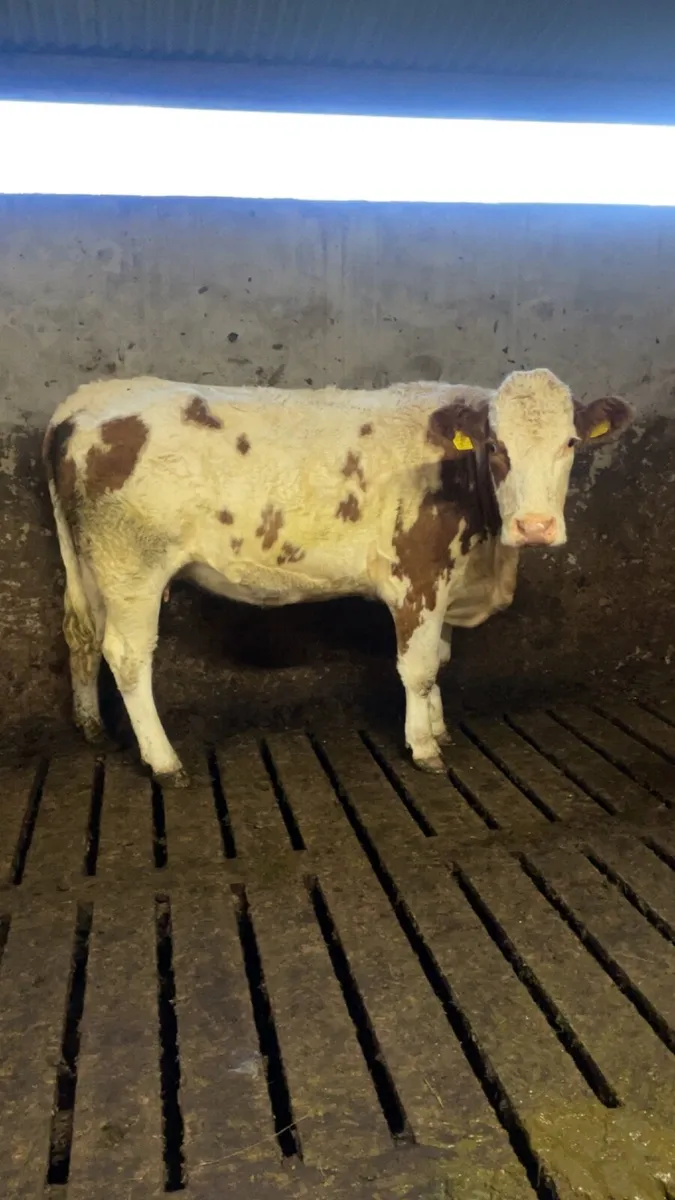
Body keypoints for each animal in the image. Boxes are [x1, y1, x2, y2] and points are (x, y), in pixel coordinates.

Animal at [43, 368, 633, 786]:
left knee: (83, 637)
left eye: (571, 443)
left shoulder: (447, 583)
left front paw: (439, 727)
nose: (535, 526)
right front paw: (424, 747)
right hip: (132, 568)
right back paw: (164, 761)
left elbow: (439, 660)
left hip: (94, 566)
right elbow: (418, 668)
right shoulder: (418, 578)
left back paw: (92, 727)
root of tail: (87, 400)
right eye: (496, 447)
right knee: (128, 656)